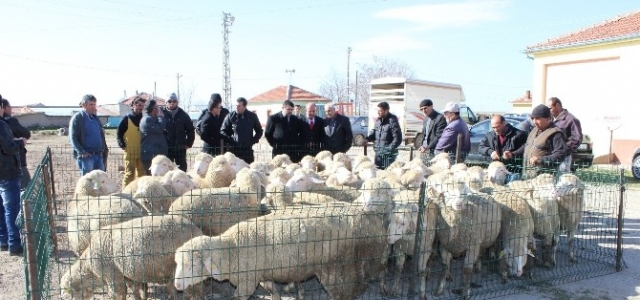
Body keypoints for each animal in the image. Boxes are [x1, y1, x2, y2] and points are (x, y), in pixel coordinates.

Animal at [60, 214, 202, 300]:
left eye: (69, 295)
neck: (90, 269)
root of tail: (197, 230)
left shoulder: (112, 276)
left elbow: (118, 294)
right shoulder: (128, 276)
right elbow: (135, 291)